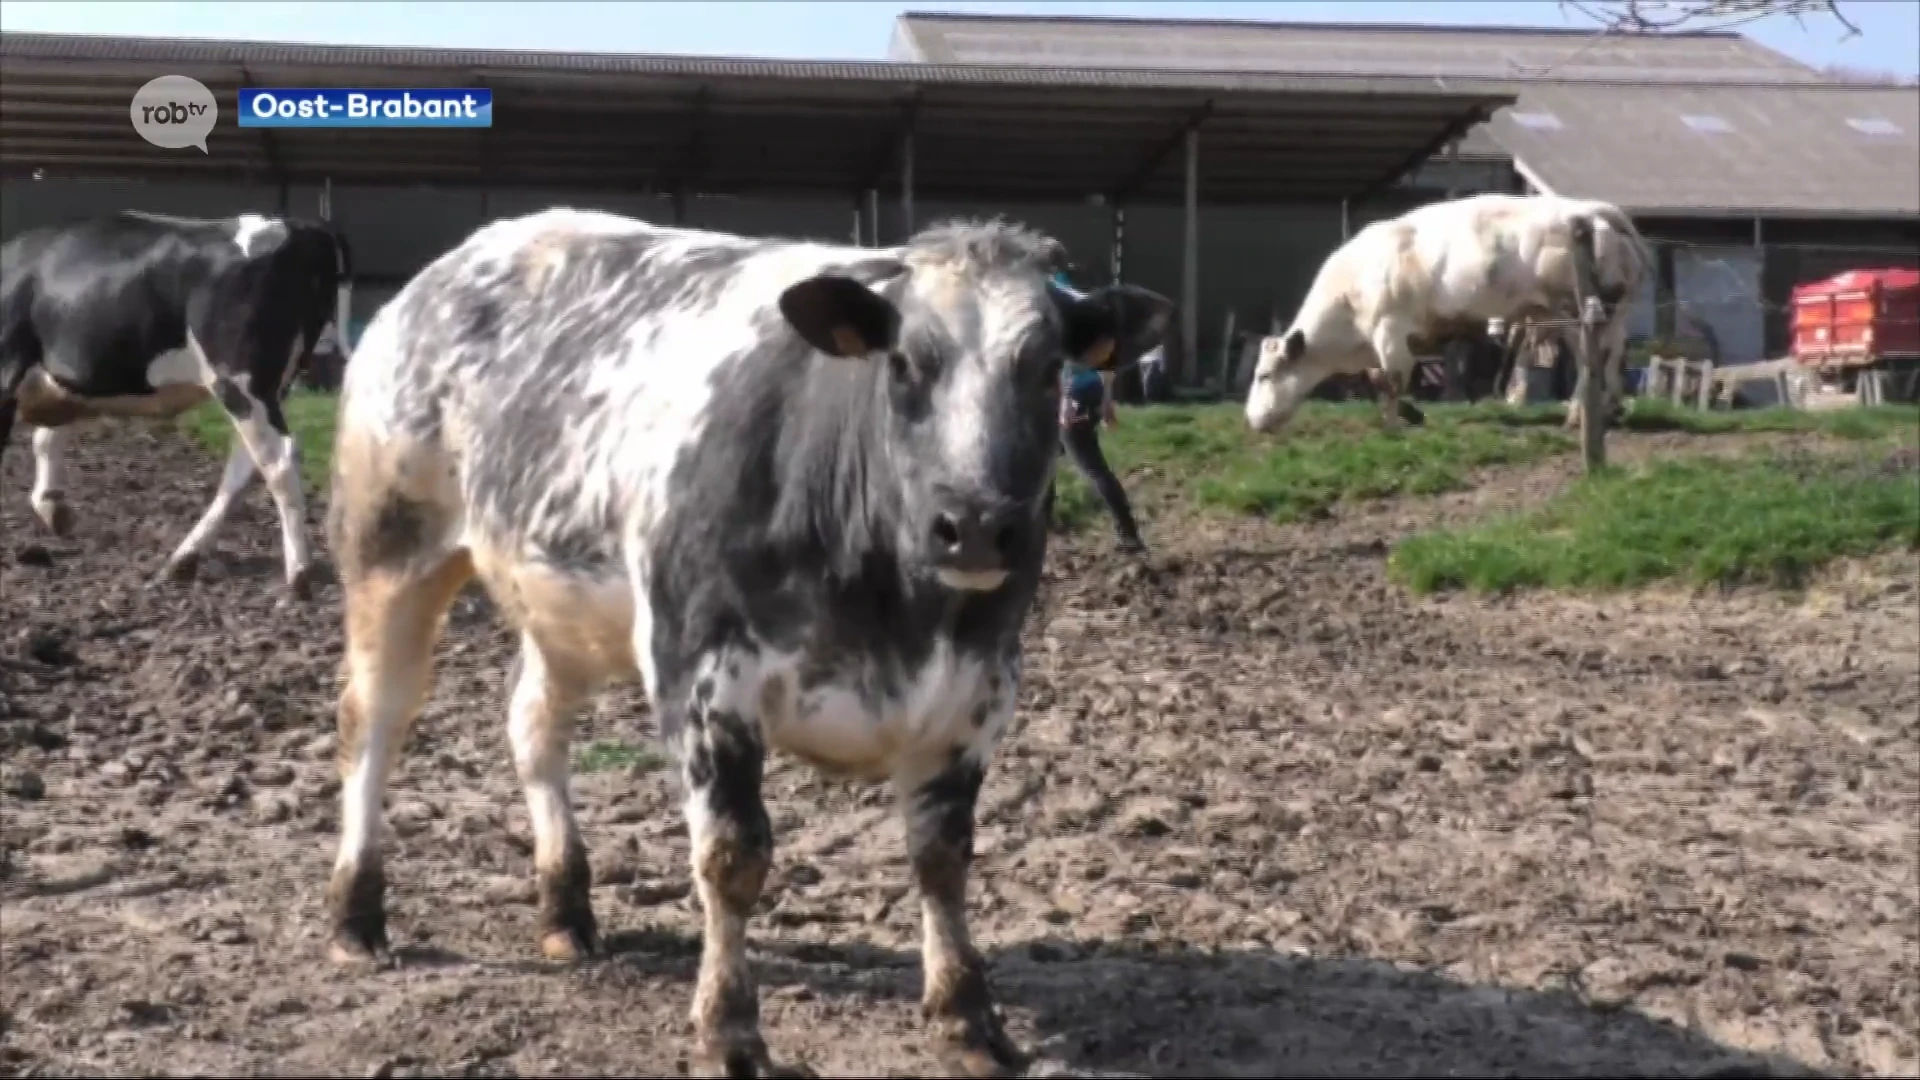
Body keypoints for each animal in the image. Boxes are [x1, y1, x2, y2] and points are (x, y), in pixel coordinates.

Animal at [0, 208, 357, 595]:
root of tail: (302, 227)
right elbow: (47, 438)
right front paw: (54, 507)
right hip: (268, 388)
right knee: (245, 465)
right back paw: (185, 559)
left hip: (240, 382)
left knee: (279, 461)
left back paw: (298, 573)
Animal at [322, 205, 1175, 1068]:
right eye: (904, 362)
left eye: (1047, 368)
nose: (973, 526)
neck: (896, 610)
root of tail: (460, 260)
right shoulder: (702, 676)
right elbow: (733, 858)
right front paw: (729, 1030)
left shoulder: (979, 689)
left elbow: (942, 855)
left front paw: (968, 1017)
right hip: (390, 548)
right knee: (374, 722)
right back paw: (356, 915)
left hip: (560, 602)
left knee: (533, 726)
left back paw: (565, 911)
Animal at [1244, 193, 1651, 432]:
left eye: (1265, 375)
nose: (1251, 420)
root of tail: (1592, 209)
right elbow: (1375, 379)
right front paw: (1412, 415)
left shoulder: (1390, 331)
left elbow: (1390, 380)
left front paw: (1392, 425)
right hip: (1605, 313)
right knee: (1613, 356)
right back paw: (1610, 410)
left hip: (1575, 311)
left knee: (1592, 361)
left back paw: (1579, 416)